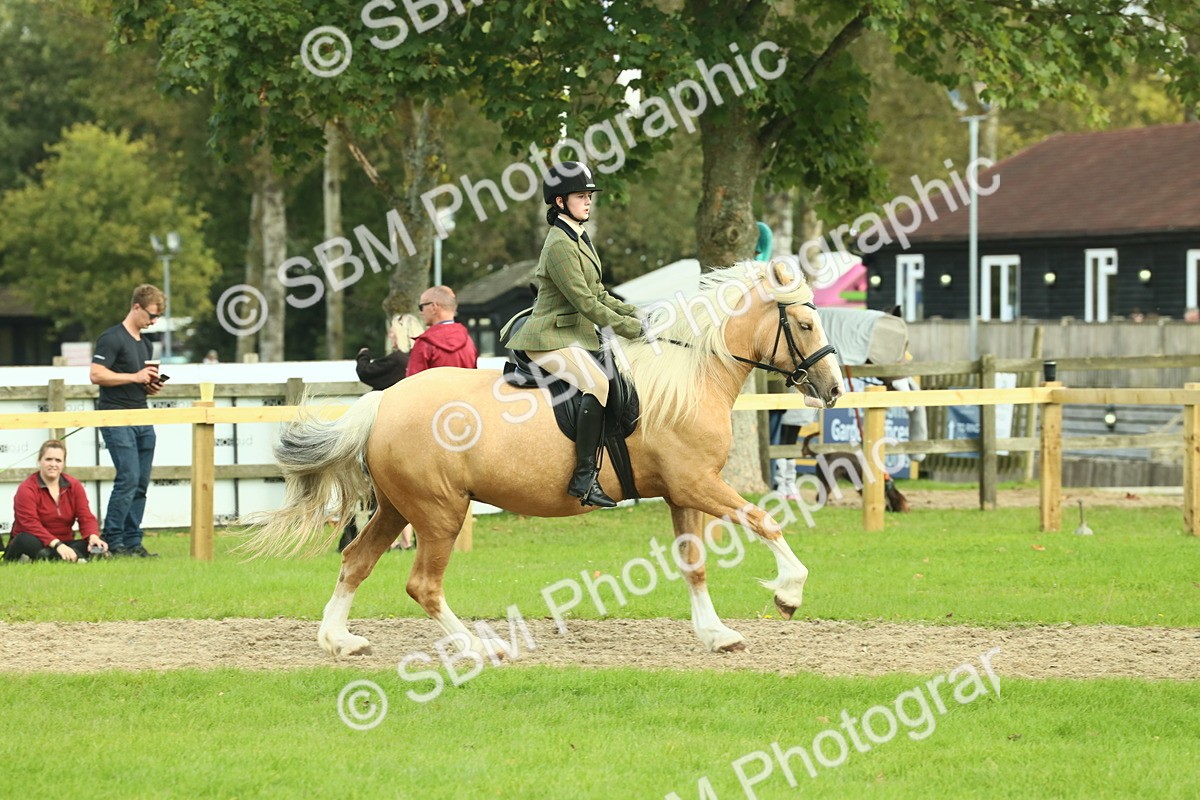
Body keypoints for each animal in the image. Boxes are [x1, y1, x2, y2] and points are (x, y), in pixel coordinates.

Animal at [244, 261, 844, 656]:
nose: (834, 388)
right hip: (439, 513)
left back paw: (339, 640)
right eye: (805, 324)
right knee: (422, 585)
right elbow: (765, 520)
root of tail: (384, 401)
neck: (687, 379)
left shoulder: (682, 492)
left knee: (356, 561)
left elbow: (693, 564)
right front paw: (789, 593)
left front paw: (716, 634)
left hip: (398, 508)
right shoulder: (697, 483)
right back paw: (479, 647)